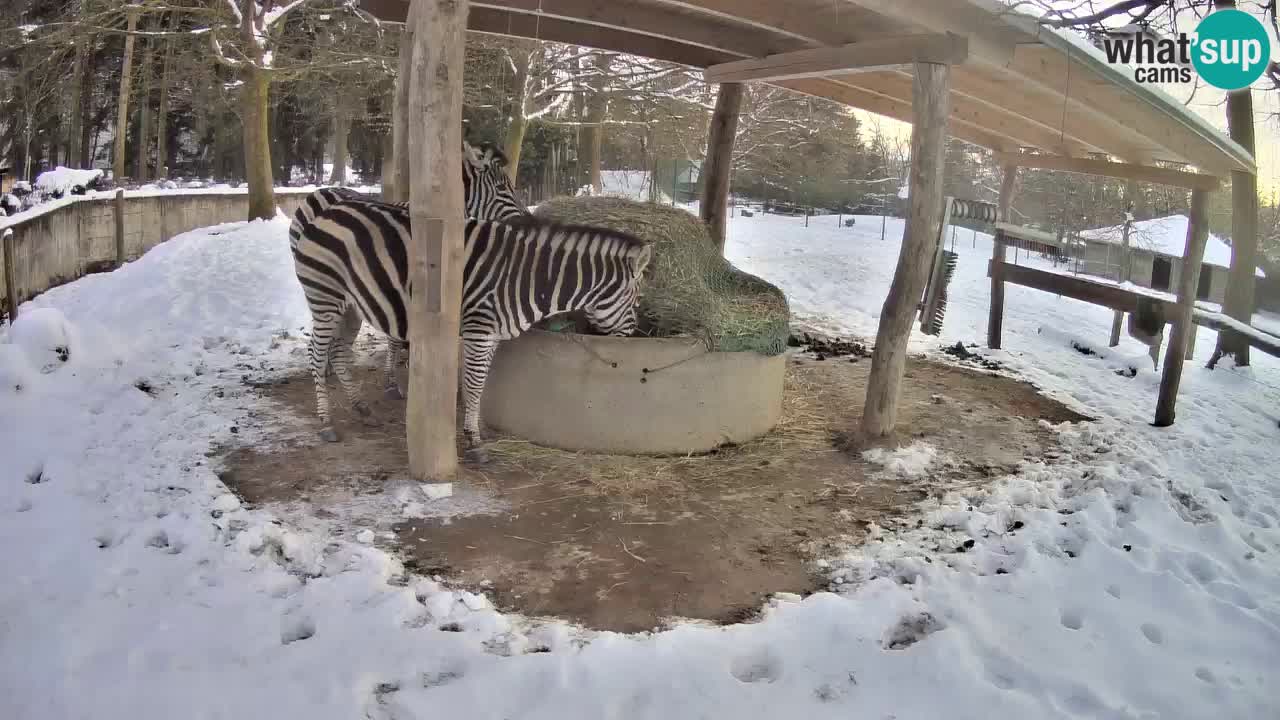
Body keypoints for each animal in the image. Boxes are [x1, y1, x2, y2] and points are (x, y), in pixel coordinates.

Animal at [291, 199, 652, 462]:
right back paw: (326, 423)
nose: (633, 338)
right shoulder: (479, 330)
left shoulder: (491, 336)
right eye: (637, 301)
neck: (527, 278)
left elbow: (476, 385)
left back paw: (362, 409)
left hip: (352, 306)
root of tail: (328, 209)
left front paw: (474, 430)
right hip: (326, 298)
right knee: (317, 354)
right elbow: (475, 384)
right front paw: (474, 443)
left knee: (339, 353)